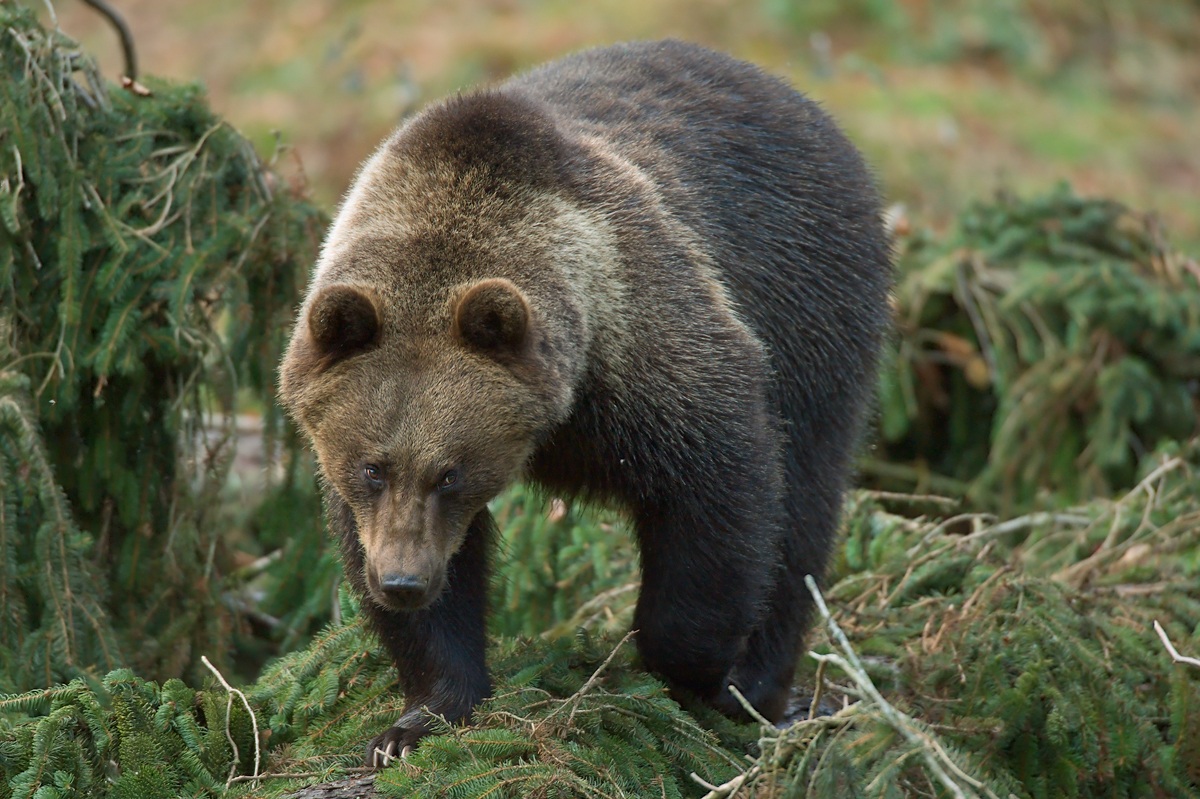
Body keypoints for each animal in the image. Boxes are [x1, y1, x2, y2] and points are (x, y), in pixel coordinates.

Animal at [279, 39, 892, 767]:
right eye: (371, 468)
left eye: (451, 473)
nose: (403, 582)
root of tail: (798, 99)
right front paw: (416, 719)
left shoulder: (650, 350)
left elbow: (724, 493)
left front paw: (693, 670)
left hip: (813, 302)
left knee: (805, 502)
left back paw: (763, 689)